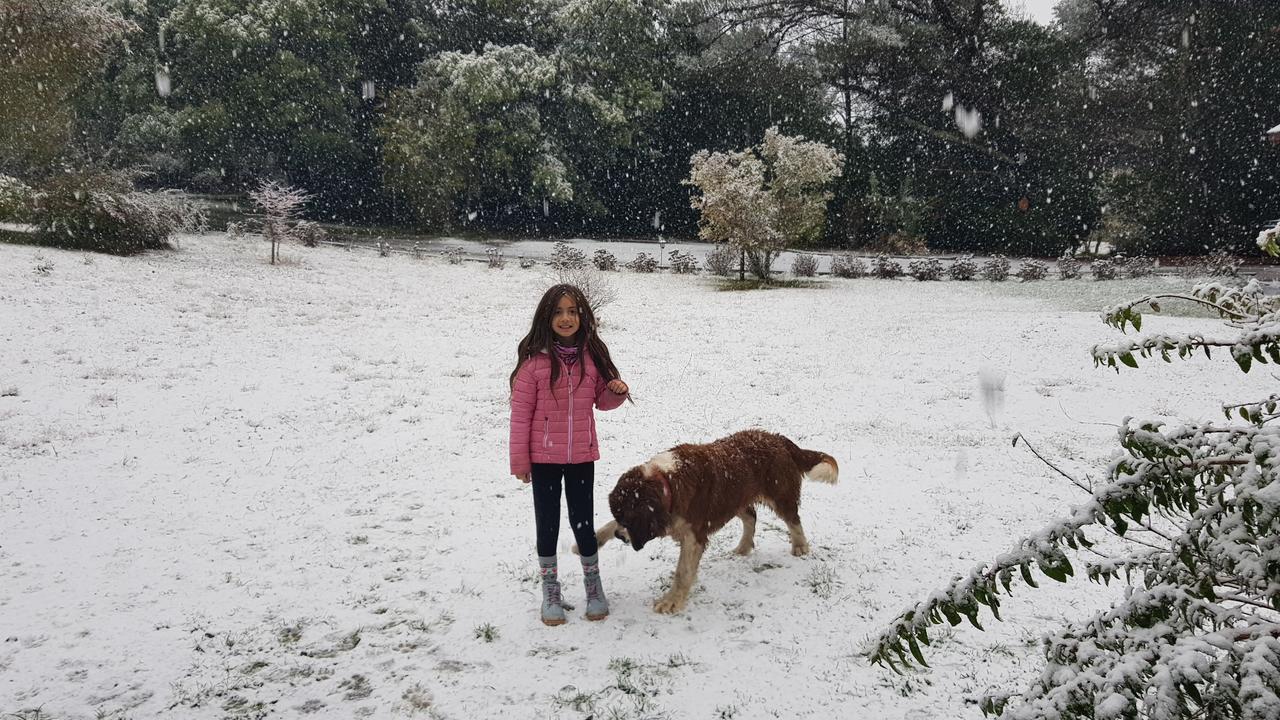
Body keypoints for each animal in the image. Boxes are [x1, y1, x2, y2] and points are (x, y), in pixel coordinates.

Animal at [591, 425, 839, 609]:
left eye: (630, 520)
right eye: (620, 517)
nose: (620, 536)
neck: (666, 482)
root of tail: (777, 438)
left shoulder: (694, 535)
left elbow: (683, 571)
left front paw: (671, 602)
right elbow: (607, 524)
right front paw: (596, 538)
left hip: (779, 493)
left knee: (793, 519)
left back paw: (800, 546)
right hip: (735, 497)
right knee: (751, 516)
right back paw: (743, 547)